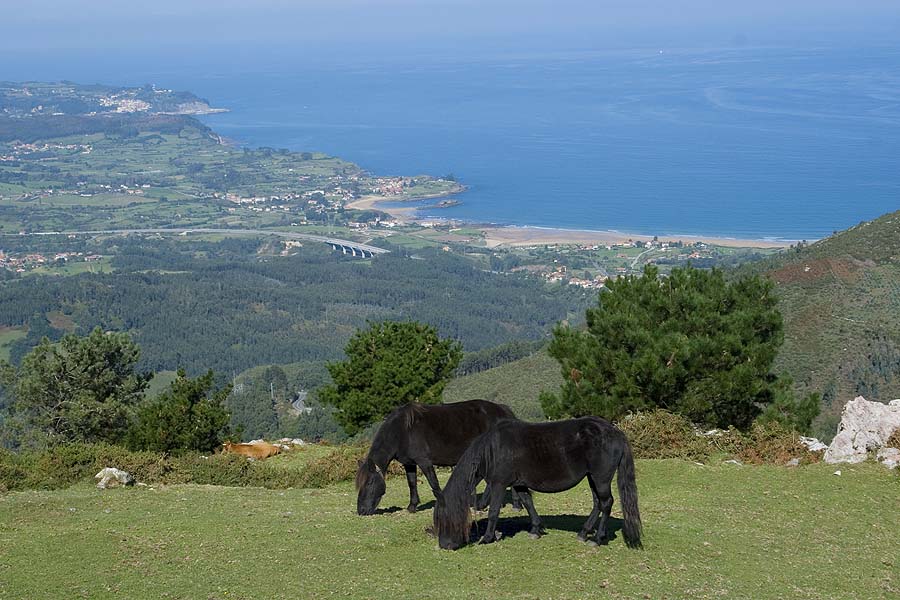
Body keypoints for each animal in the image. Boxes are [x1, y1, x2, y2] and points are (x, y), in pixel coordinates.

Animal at [356, 398, 516, 516]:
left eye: (369, 482)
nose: (361, 510)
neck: (402, 431)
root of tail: (503, 410)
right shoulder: (409, 464)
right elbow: (412, 483)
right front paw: (412, 506)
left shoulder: (424, 461)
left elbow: (433, 483)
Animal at [434, 418, 640, 548]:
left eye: (444, 519)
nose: (445, 546)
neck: (493, 449)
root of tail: (615, 432)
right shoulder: (518, 484)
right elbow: (527, 503)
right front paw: (535, 529)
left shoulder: (499, 484)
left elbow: (494, 511)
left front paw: (487, 538)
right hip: (592, 477)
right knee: (598, 503)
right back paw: (584, 533)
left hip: (600, 478)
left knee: (606, 503)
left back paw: (597, 539)